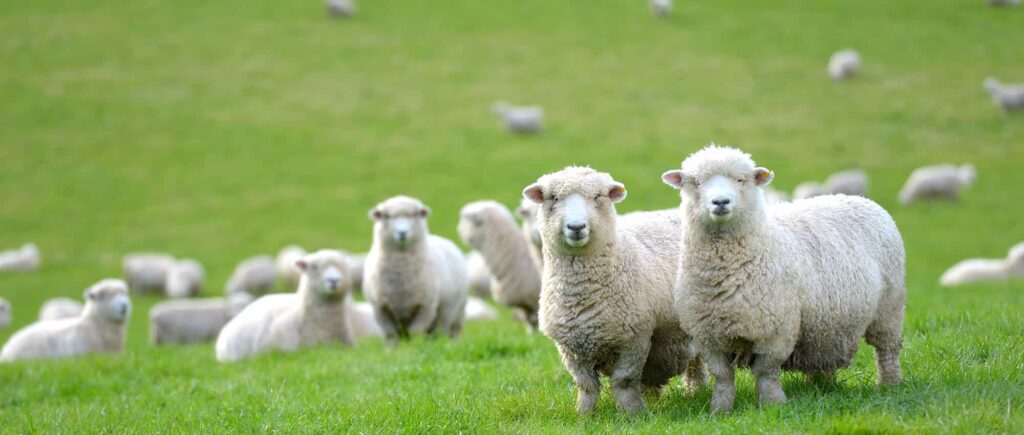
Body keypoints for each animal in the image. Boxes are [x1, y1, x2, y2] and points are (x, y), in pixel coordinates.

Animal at [363, 196, 469, 343]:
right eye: (386, 216)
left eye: (415, 215)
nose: (402, 233)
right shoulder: (381, 308)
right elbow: (391, 335)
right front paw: (392, 349)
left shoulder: (425, 306)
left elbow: (415, 333)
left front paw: (415, 346)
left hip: (454, 311)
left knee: (445, 331)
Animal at [522, 166, 705, 415]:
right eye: (554, 198)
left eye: (598, 197)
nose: (576, 227)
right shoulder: (570, 348)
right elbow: (586, 386)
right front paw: (584, 414)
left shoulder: (634, 339)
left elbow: (624, 381)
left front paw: (633, 413)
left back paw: (695, 391)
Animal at [661, 145, 906, 413]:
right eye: (697, 182)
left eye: (741, 180)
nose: (721, 202)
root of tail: (861, 199)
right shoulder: (708, 335)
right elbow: (723, 376)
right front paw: (720, 409)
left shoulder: (776, 331)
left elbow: (766, 372)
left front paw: (773, 405)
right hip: (827, 322)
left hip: (889, 307)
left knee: (887, 349)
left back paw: (891, 384)